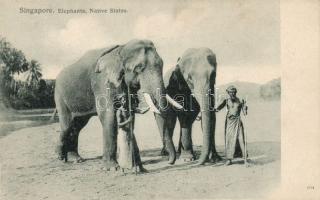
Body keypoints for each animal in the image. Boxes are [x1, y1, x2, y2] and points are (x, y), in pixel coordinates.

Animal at [54, 39, 180, 170]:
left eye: (162, 65)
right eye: (138, 68)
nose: (169, 161)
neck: (121, 50)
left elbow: (129, 114)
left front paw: (135, 166)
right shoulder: (101, 81)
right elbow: (108, 115)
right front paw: (112, 168)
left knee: (77, 125)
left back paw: (75, 159)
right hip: (60, 96)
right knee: (67, 124)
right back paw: (62, 156)